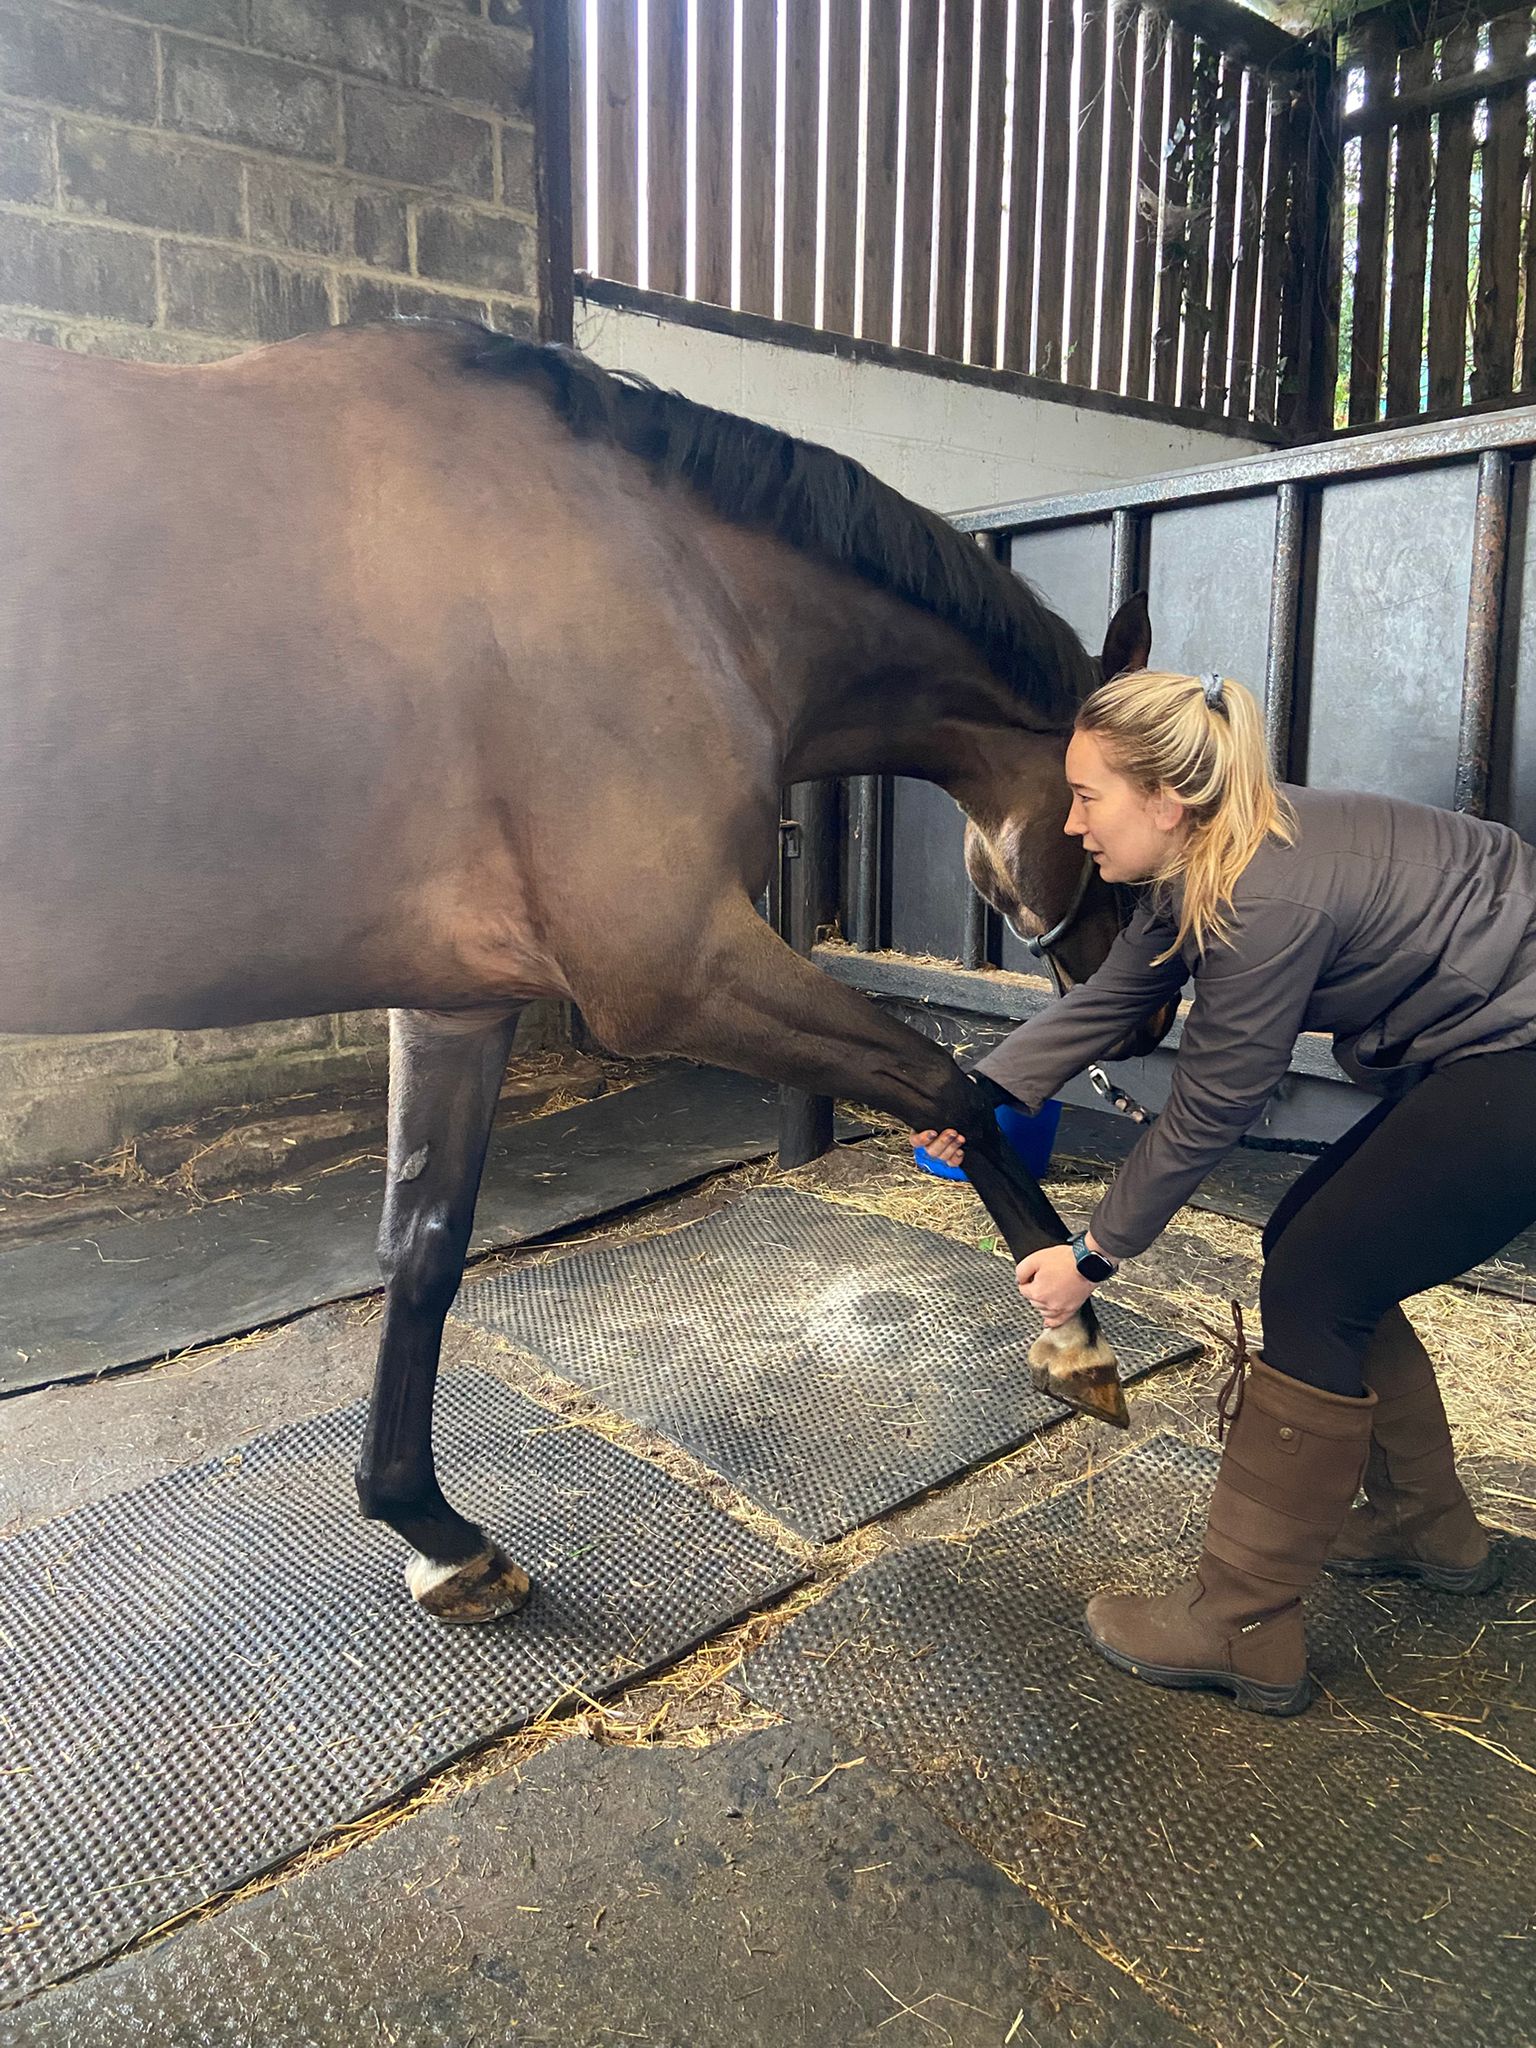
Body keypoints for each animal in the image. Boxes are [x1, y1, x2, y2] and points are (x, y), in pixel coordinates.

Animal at [0, 320, 1167, 1623]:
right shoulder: (675, 972)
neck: (670, 572)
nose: (1146, 1005)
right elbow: (946, 1081)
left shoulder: (459, 1000)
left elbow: (424, 1246)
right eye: (1110, 807)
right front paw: (1076, 1336)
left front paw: (434, 1531)